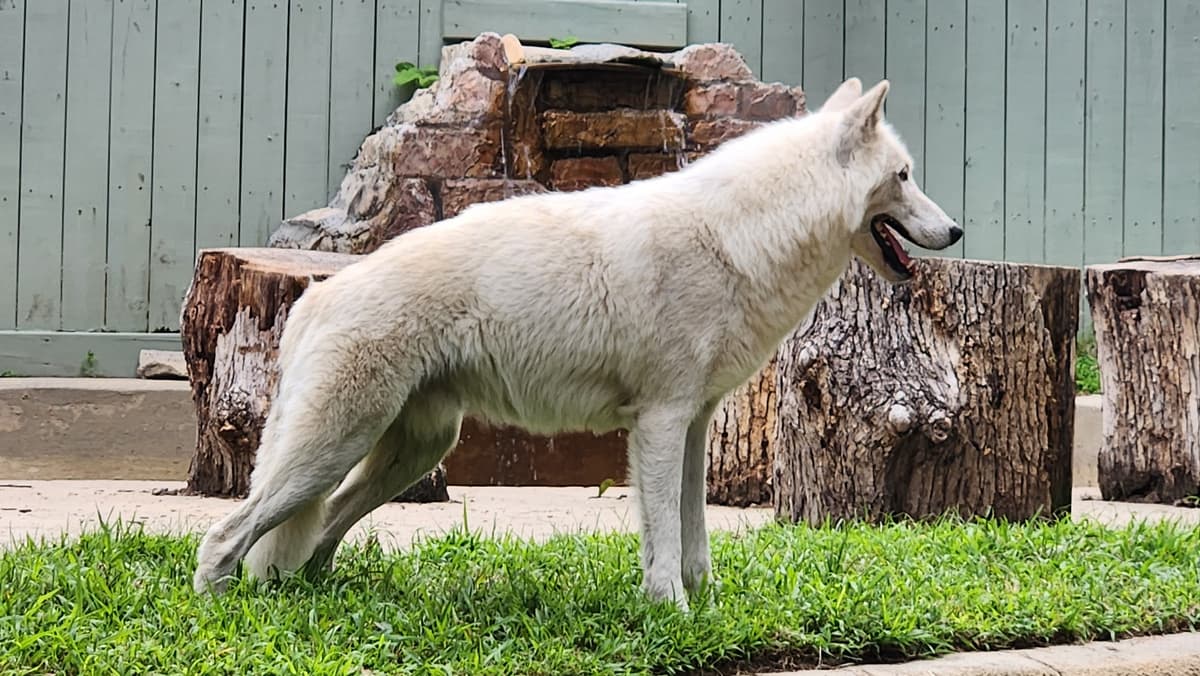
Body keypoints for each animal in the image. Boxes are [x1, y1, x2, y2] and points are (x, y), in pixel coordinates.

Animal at [192, 77, 961, 610]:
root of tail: (316, 295)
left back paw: (313, 594)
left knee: (317, 533)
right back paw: (224, 606)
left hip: (408, 454)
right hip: (332, 451)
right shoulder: (659, 424)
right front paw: (672, 614)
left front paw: (708, 609)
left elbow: (693, 537)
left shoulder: (693, 425)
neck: (740, 238)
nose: (956, 231)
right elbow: (664, 537)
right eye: (904, 176)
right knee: (226, 536)